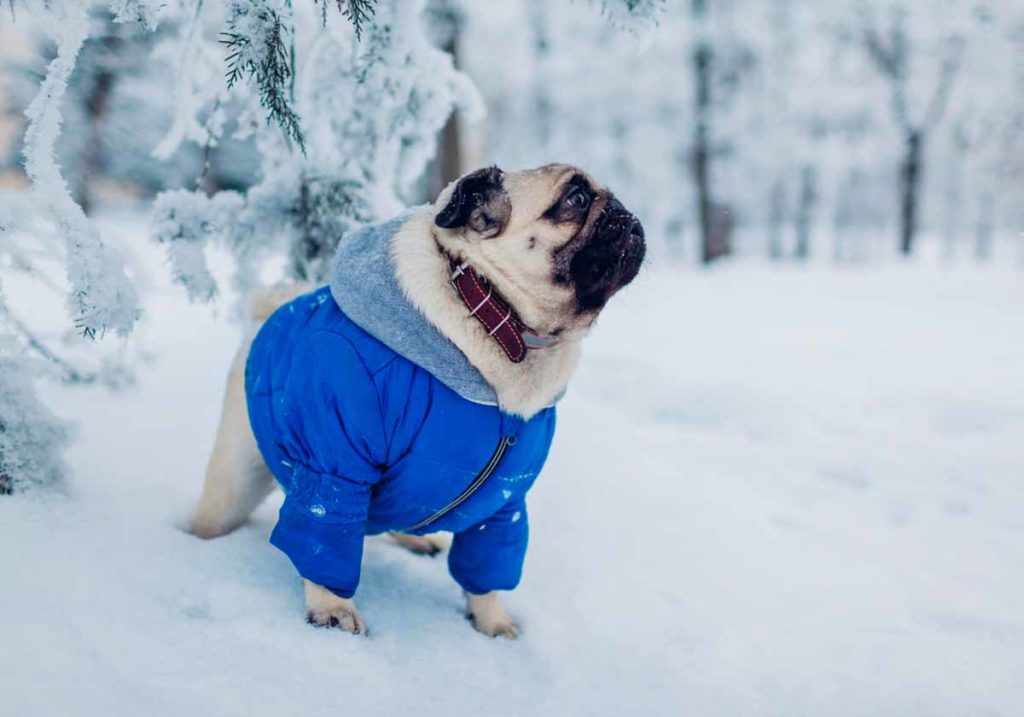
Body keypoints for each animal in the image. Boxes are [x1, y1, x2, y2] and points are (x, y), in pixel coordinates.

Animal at [190, 163, 638, 639]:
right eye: (575, 199)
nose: (624, 212)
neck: (498, 319)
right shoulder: (334, 467)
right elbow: (327, 534)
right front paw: (332, 609)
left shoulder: (503, 502)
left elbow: (487, 572)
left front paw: (492, 624)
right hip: (234, 484)